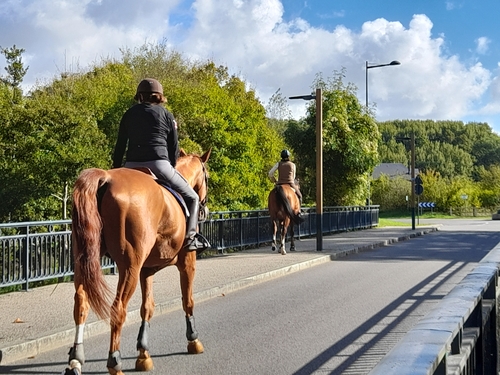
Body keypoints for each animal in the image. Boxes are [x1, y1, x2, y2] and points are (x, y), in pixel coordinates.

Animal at [63, 150, 211, 375]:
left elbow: (147, 307)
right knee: (117, 309)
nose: (205, 209)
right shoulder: (187, 262)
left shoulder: (146, 270)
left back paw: (75, 360)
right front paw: (193, 340)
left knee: (81, 302)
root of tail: (107, 177)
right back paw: (114, 362)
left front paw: (143, 354)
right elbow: (188, 300)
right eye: (207, 177)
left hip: (85, 260)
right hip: (129, 267)